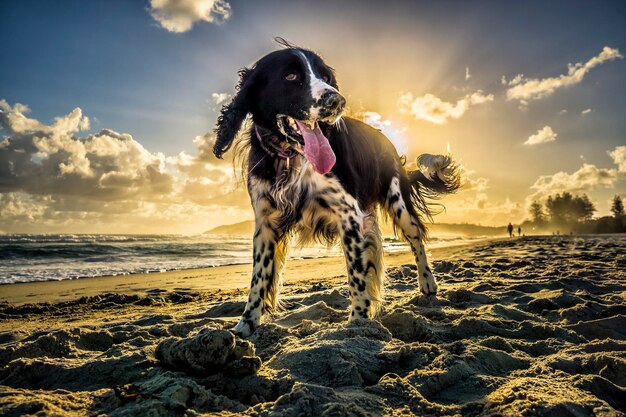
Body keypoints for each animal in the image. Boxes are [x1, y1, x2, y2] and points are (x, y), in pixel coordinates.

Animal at [211, 40, 458, 336]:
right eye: (291, 76)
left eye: (326, 77)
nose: (336, 101)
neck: (292, 158)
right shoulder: (266, 222)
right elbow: (259, 277)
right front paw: (246, 325)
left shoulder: (349, 215)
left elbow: (356, 274)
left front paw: (358, 321)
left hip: (398, 203)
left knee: (416, 239)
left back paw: (427, 283)